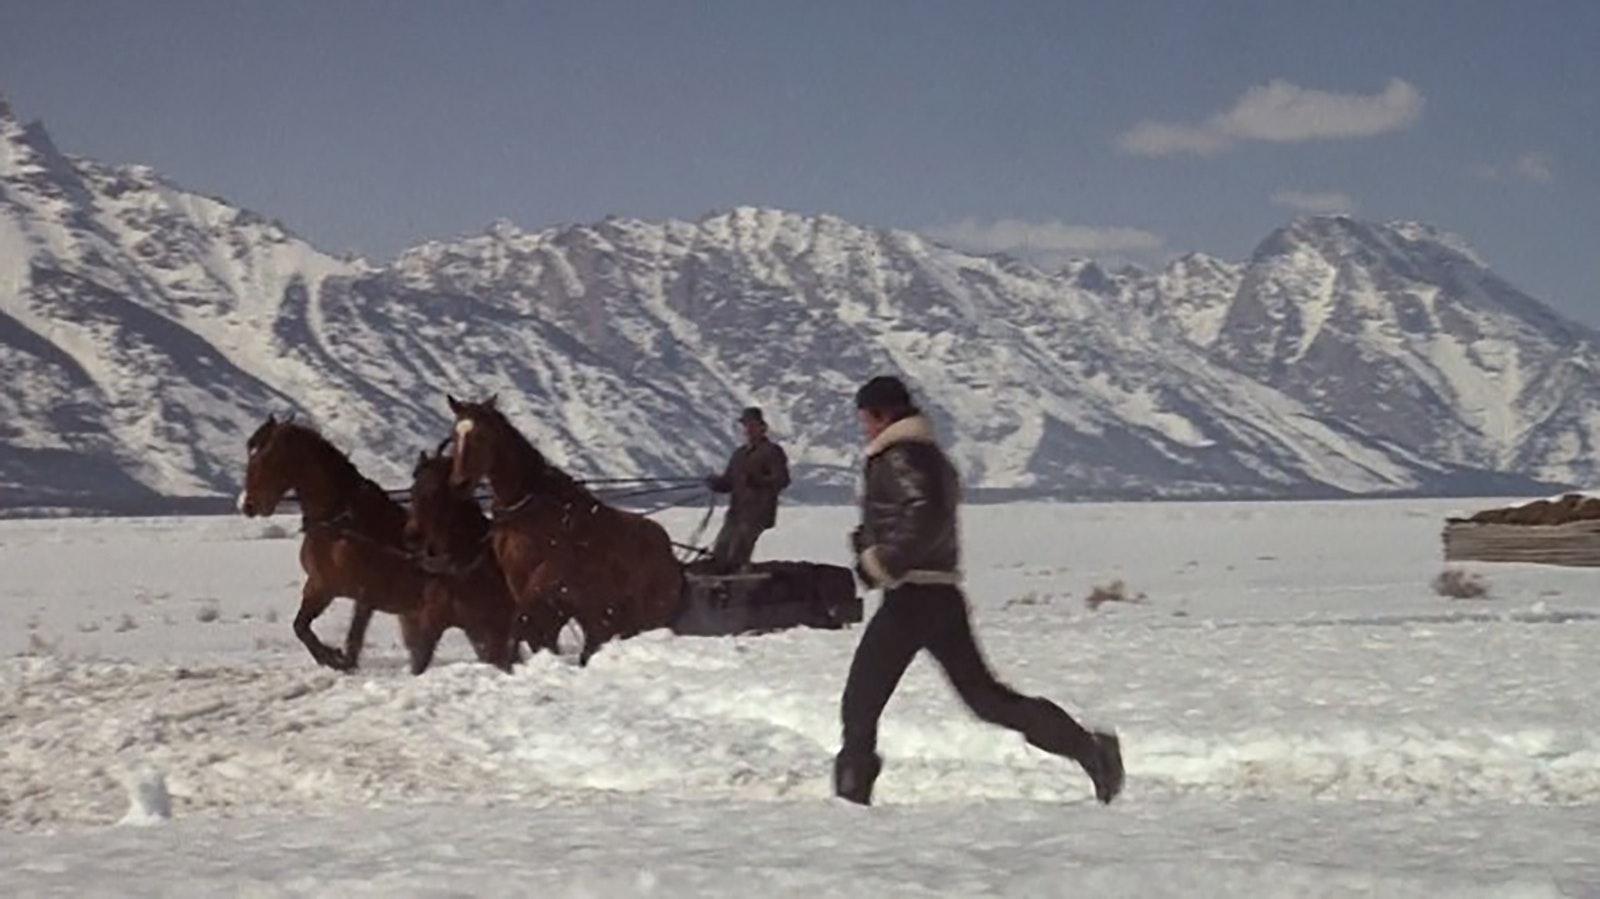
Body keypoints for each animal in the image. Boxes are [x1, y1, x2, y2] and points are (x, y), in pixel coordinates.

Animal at [236, 412, 508, 671]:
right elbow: (305, 627)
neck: (340, 523)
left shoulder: (335, 588)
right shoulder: (324, 587)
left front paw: (334, 657)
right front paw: (337, 658)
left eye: (266, 457)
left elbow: (325, 634)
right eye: (250, 451)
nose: (248, 505)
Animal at [444, 395, 688, 662]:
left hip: (645, 616)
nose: (459, 484)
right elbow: (533, 630)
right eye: (454, 436)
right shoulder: (518, 579)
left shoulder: (550, 576)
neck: (530, 510)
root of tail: (671, 557)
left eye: (482, 436)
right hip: (604, 617)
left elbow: (525, 617)